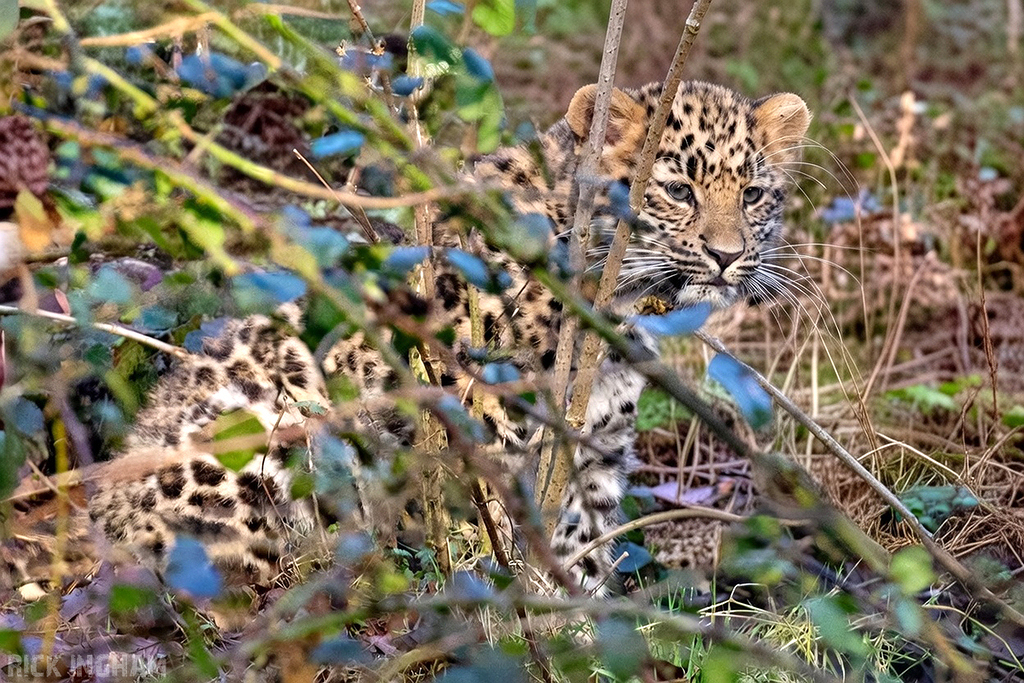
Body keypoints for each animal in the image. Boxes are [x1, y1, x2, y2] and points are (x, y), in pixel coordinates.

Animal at [2, 80, 810, 599]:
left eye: (753, 195)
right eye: (676, 190)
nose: (728, 256)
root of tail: (100, 515)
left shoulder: (598, 448)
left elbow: (584, 542)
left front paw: (588, 620)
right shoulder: (483, 427)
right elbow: (496, 533)